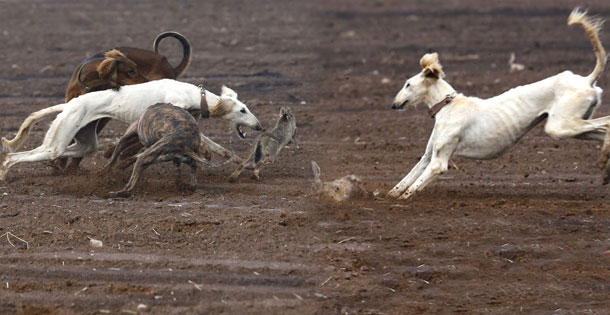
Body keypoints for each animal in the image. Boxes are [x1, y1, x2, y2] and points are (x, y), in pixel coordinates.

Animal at [0, 79, 262, 183]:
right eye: (242, 110)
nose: (260, 126)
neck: (195, 95)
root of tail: (70, 104)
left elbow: (222, 150)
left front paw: (243, 165)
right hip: (56, 143)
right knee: (12, 156)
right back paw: (4, 174)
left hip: (84, 142)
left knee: (83, 150)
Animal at [388, 8, 604, 201]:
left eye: (408, 84)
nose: (393, 104)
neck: (448, 106)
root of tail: (586, 80)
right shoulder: (428, 155)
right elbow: (408, 178)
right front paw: (390, 195)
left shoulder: (438, 162)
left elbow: (413, 187)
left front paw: (402, 200)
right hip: (574, 127)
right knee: (602, 129)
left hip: (560, 126)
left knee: (606, 124)